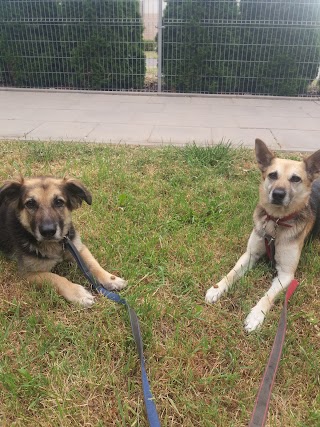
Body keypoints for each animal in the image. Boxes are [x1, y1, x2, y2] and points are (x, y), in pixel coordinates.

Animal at [0, 177, 127, 308]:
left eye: (58, 202)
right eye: (30, 203)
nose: (48, 231)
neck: (53, 244)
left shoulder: (77, 246)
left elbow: (92, 263)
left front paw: (110, 278)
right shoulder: (28, 274)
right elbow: (55, 278)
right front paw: (78, 293)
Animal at [205, 139, 320, 332]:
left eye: (295, 178)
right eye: (273, 175)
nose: (278, 194)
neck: (276, 221)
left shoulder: (286, 274)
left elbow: (268, 296)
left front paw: (256, 316)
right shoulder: (250, 254)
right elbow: (231, 273)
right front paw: (217, 288)